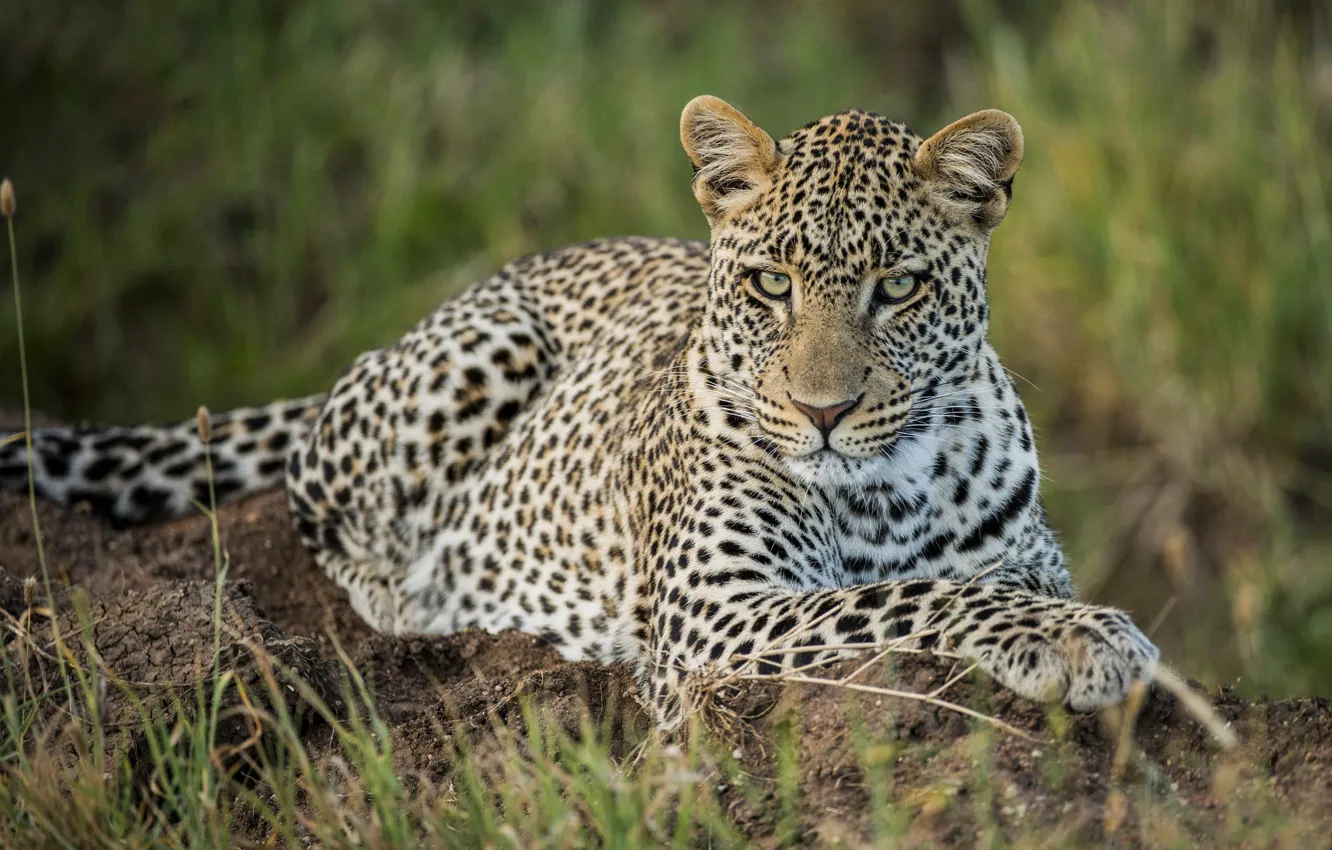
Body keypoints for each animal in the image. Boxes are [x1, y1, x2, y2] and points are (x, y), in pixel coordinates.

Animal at [0, 96, 1159, 724]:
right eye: (772, 285)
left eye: (900, 287)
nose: (822, 412)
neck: (889, 491)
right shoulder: (713, 618)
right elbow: (911, 598)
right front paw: (1084, 640)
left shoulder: (1022, 554)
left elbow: (961, 582)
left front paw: (1070, 626)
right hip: (479, 356)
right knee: (324, 525)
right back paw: (440, 604)